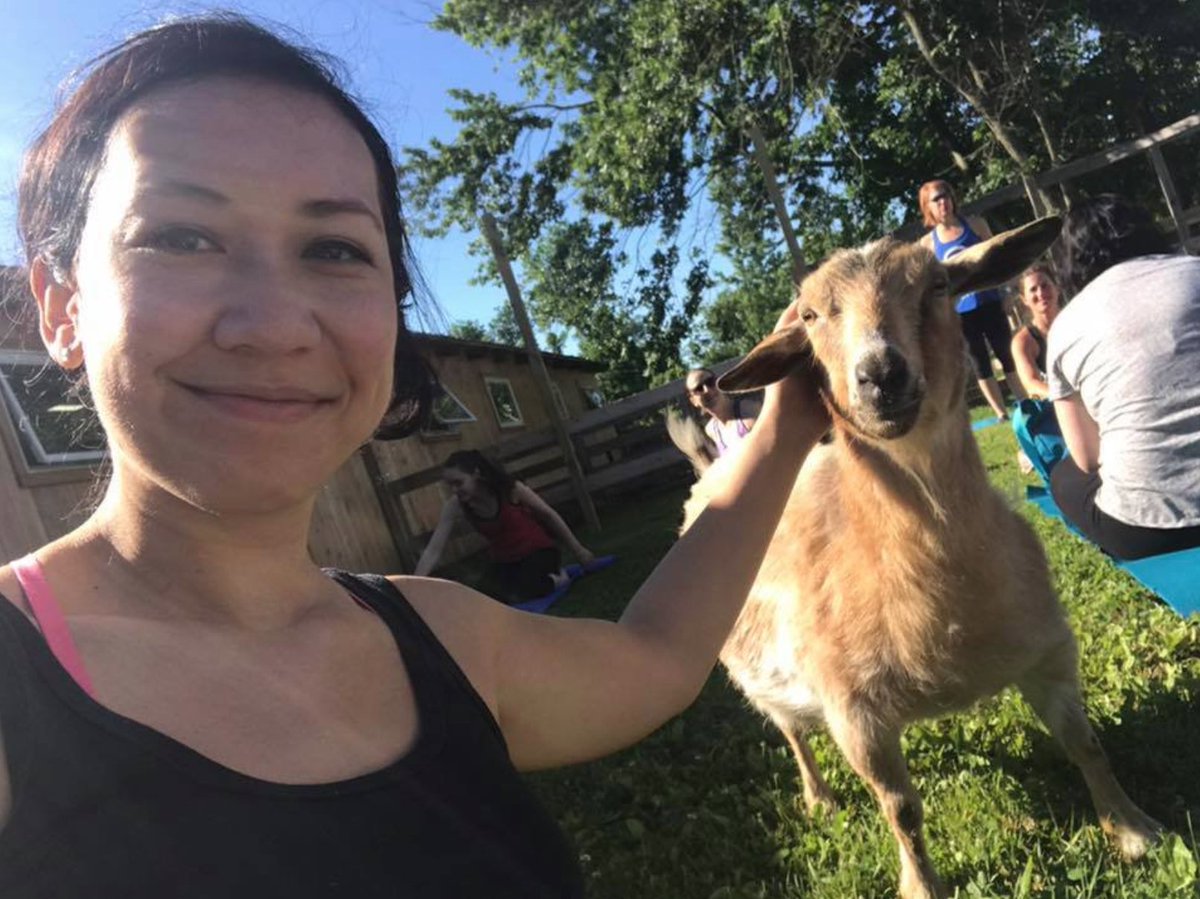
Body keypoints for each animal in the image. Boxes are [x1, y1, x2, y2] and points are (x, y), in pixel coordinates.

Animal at [680, 219, 1160, 899]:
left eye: (937, 285)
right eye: (810, 315)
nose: (879, 373)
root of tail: (712, 470)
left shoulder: (1048, 650)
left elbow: (1085, 742)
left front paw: (1133, 829)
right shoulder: (854, 714)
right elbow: (900, 810)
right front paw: (921, 885)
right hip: (759, 679)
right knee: (793, 735)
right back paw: (818, 797)